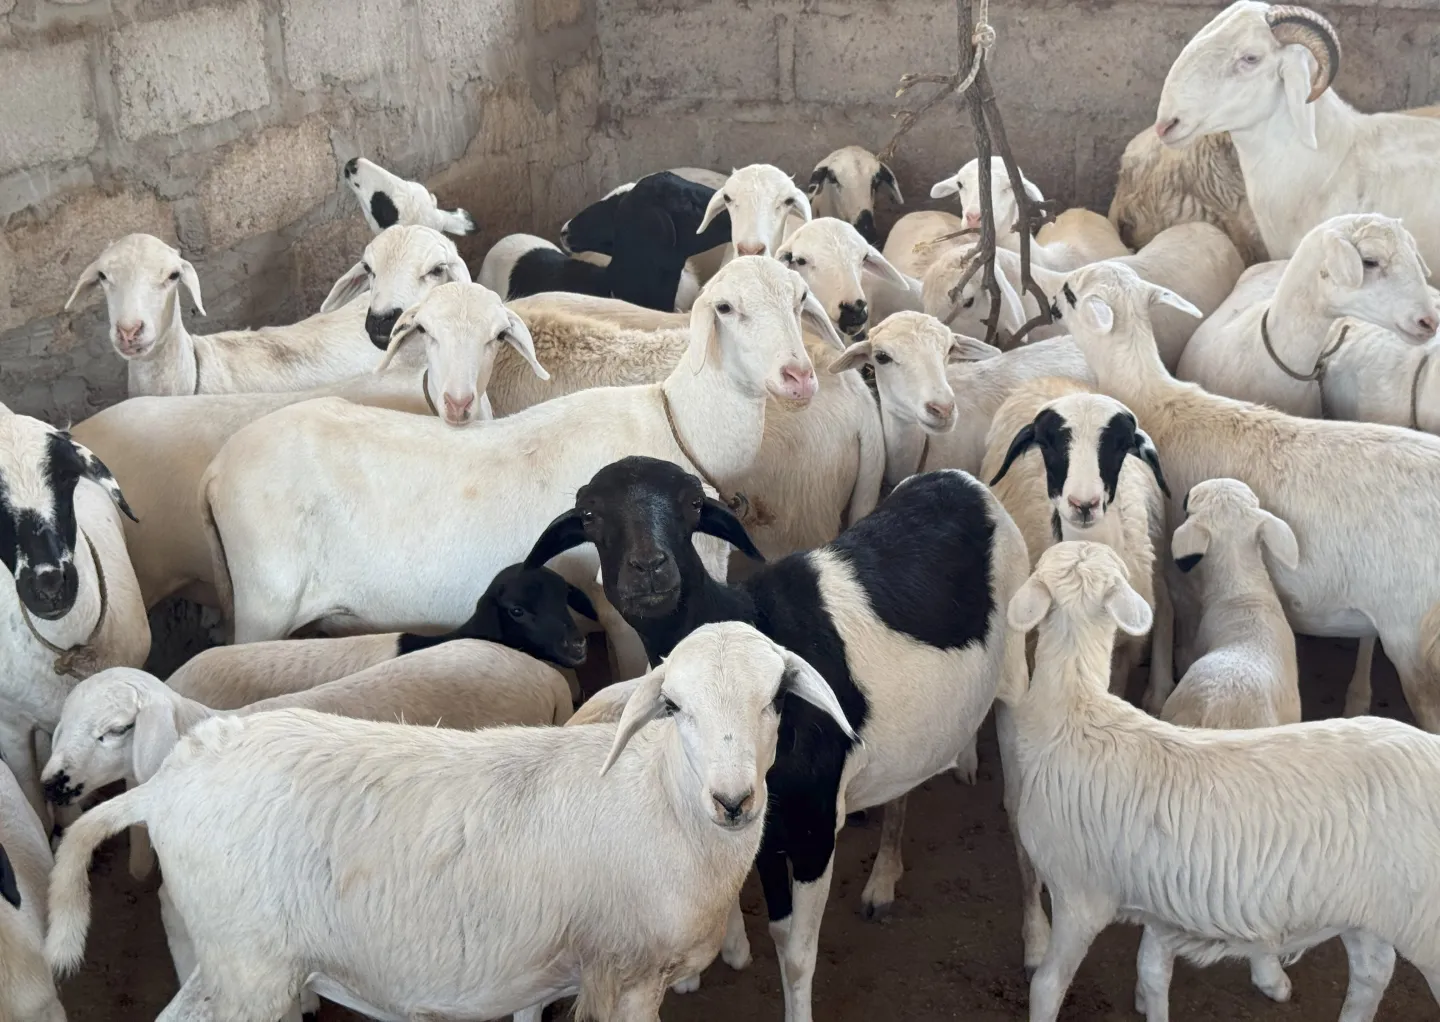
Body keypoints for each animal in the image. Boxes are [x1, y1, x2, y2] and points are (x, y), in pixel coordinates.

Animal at [48, 623, 854, 1022]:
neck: (665, 801)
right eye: (675, 706)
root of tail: (168, 785)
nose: (734, 800)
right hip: (254, 969)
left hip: (230, 962)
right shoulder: (624, 977)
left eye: (776, 698)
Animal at [199, 257, 841, 674]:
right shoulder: (616, 610)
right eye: (726, 308)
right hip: (265, 600)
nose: (798, 377)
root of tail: (216, 469)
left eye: (798, 301)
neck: (677, 421)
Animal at [525, 456, 1029, 1022]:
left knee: (1019, 809)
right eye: (589, 515)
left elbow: (797, 951)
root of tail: (957, 478)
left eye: (693, 504)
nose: (649, 568)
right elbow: (777, 927)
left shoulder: (813, 825)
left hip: (1015, 676)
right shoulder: (762, 821)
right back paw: (883, 879)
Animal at [1005, 540, 1440, 1022]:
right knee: (1373, 969)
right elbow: (1153, 970)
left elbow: (1047, 986)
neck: (1073, 707)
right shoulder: (1158, 903)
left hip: (1424, 921)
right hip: (1371, 908)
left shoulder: (1079, 893)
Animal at [1050, 259, 1440, 742]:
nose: (1051, 303)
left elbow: (1174, 629)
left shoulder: (1178, 566)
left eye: (1071, 293)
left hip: (1411, 633)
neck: (1158, 400)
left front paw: (1159, 689)